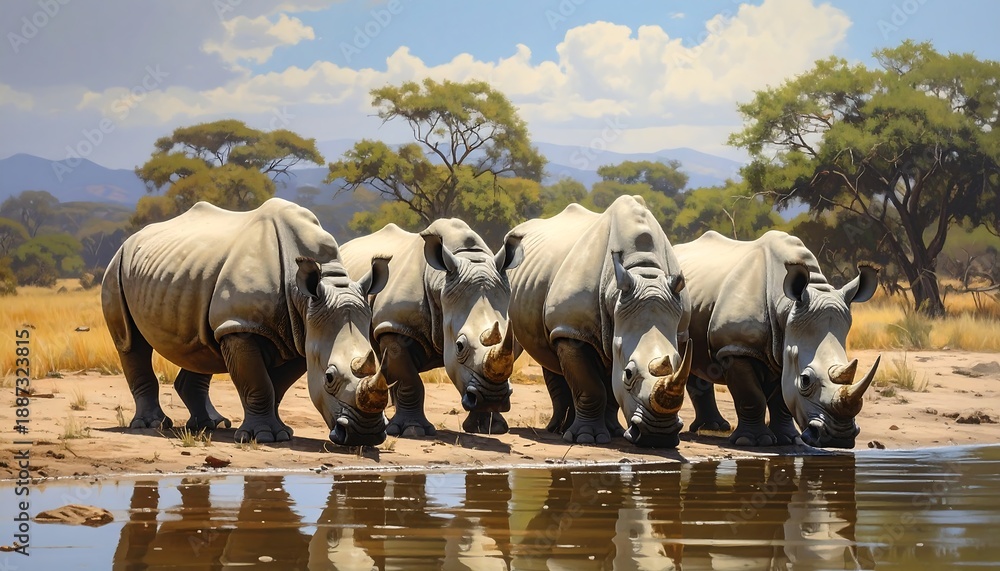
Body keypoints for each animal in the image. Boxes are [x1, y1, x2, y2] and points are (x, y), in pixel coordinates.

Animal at [101, 198, 391, 446]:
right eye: (329, 377)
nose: (365, 434)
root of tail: (130, 239)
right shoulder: (241, 325)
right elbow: (258, 383)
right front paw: (265, 437)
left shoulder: (301, 334)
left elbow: (277, 385)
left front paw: (280, 431)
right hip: (116, 266)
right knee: (130, 342)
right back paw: (153, 425)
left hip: (187, 276)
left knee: (201, 345)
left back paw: (211, 425)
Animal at [339, 219, 521, 436]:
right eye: (460, 346)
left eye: (513, 342)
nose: (493, 398)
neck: (440, 282)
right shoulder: (395, 325)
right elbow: (410, 381)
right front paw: (412, 430)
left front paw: (490, 427)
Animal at [504, 195, 692, 446]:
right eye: (629, 374)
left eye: (679, 362)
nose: (658, 435)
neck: (643, 273)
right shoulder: (572, 329)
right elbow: (591, 387)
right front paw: (587, 438)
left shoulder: (676, 331)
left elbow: (610, 389)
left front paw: (613, 431)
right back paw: (554, 431)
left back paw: (561, 429)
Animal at [674, 230, 879, 448]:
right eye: (805, 380)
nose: (838, 438)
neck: (785, 307)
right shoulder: (736, 346)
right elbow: (751, 396)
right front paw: (752, 441)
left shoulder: (785, 352)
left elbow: (782, 400)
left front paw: (789, 440)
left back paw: (713, 427)